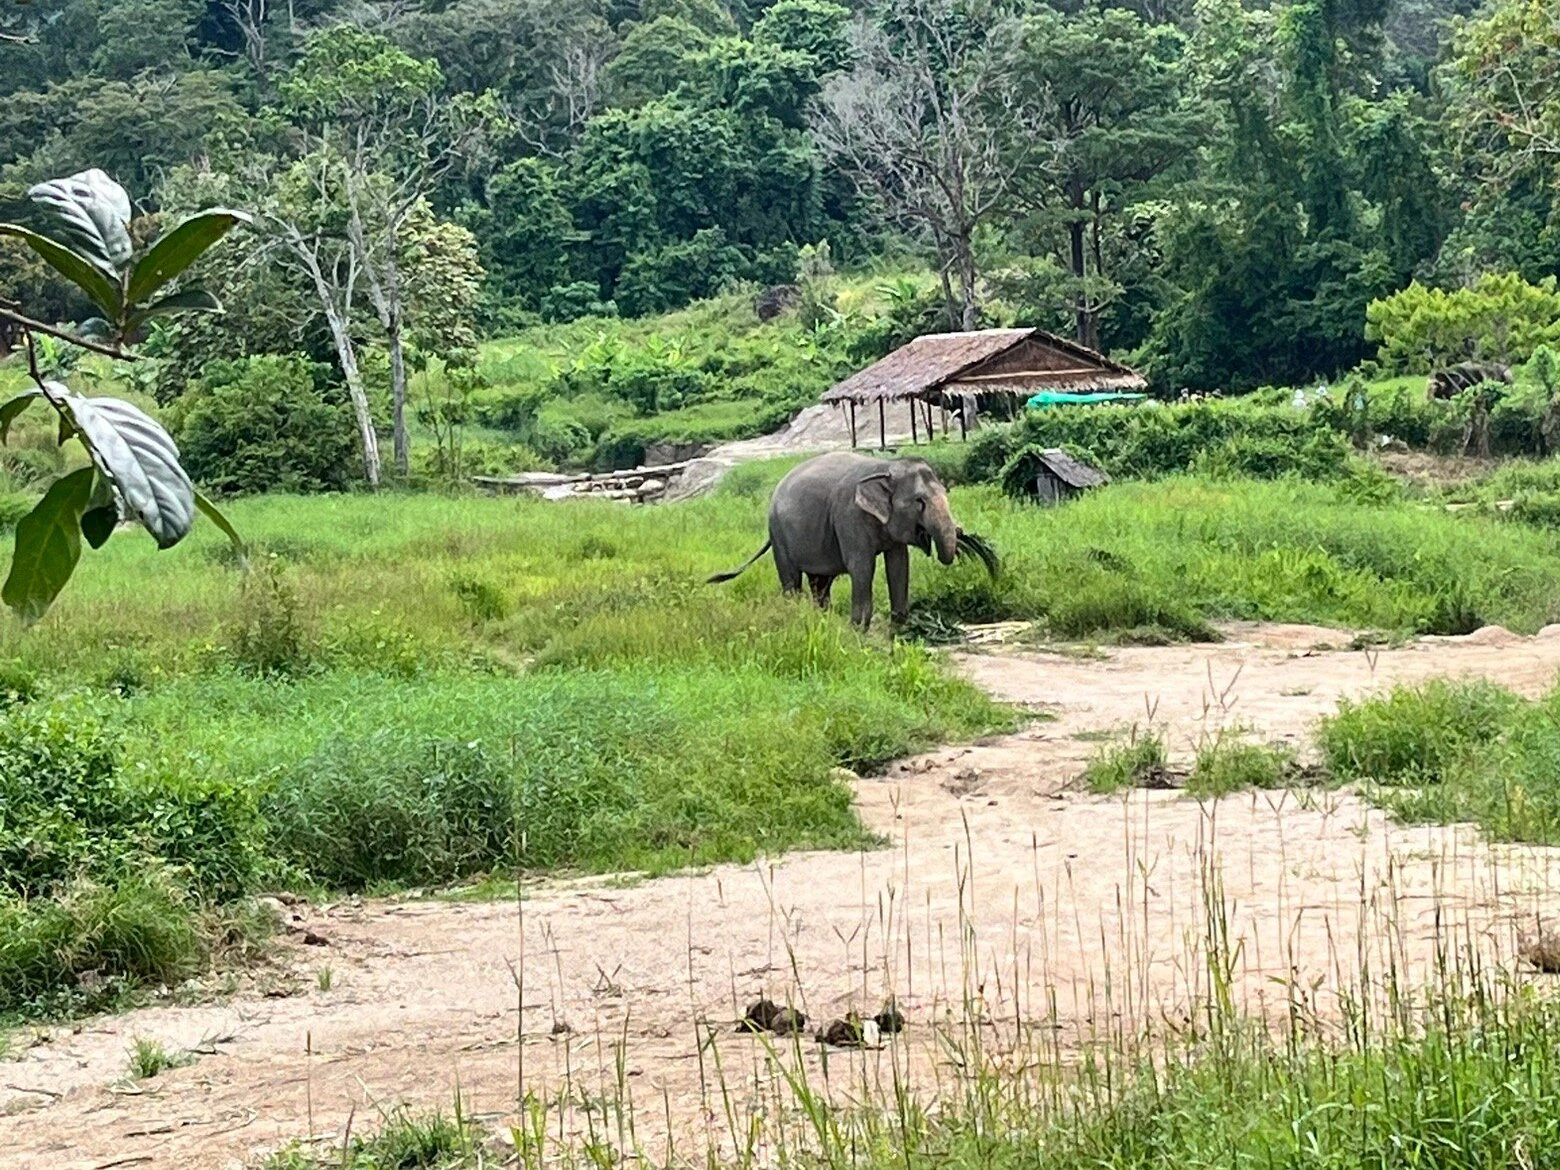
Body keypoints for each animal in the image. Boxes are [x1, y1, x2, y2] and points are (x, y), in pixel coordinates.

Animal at [707, 451, 962, 632]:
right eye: (919, 501)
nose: (960, 532)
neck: (884, 466)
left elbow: (899, 564)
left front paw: (898, 630)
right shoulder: (849, 516)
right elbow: (862, 567)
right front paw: (858, 631)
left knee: (820, 583)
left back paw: (822, 620)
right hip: (778, 534)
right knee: (791, 580)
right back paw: (797, 617)